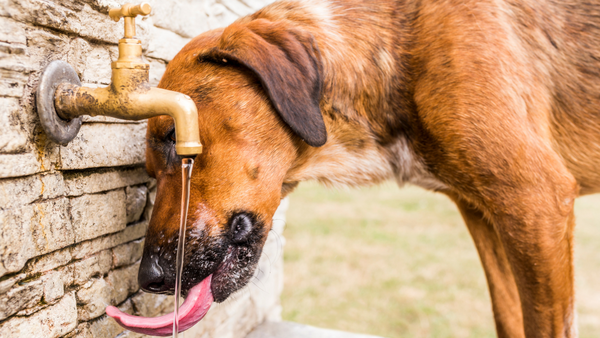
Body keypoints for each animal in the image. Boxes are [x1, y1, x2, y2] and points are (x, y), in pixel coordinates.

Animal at [135, 1, 600, 336]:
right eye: (151, 170)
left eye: (175, 139)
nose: (148, 278)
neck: (395, 53)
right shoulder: (484, 215)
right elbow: (509, 316)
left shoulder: (535, 203)